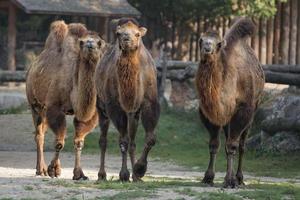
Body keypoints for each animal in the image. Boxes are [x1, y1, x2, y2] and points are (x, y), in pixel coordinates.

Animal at [26, 21, 105, 180]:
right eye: (82, 42)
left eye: (100, 43)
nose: (90, 44)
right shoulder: (54, 107)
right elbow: (59, 142)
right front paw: (53, 170)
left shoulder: (88, 115)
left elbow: (79, 142)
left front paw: (79, 174)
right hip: (35, 105)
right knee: (39, 135)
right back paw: (41, 169)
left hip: (43, 109)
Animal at [95, 18, 161, 181]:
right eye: (119, 33)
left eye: (137, 34)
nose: (126, 39)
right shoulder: (114, 106)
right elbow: (123, 140)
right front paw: (124, 174)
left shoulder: (149, 103)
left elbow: (150, 138)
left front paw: (139, 170)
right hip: (101, 107)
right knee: (104, 139)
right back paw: (102, 175)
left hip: (132, 114)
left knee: (132, 140)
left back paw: (135, 177)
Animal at [196, 18, 264, 188]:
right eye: (201, 40)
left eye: (218, 43)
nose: (207, 46)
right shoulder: (208, 113)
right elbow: (214, 144)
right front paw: (208, 177)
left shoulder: (243, 111)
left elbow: (233, 145)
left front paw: (228, 181)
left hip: (253, 111)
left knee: (242, 145)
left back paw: (239, 178)